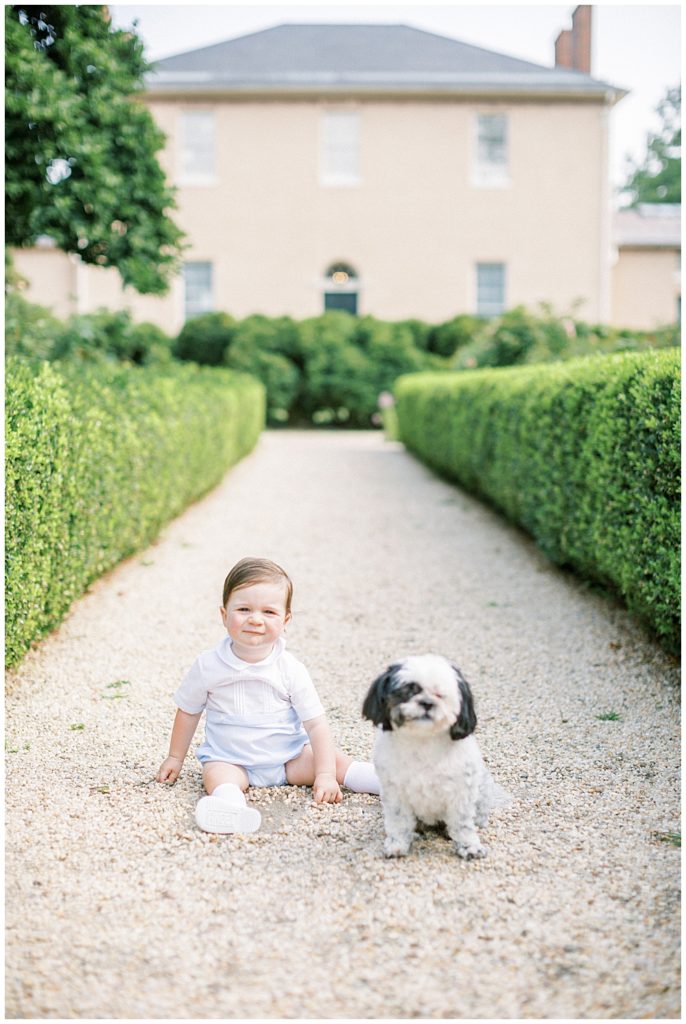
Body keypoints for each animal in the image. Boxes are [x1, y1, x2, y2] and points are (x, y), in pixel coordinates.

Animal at [364, 655, 505, 856]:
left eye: (440, 694)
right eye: (410, 690)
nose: (427, 703)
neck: (423, 741)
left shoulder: (460, 793)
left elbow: (462, 825)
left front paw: (469, 846)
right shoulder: (395, 794)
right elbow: (399, 822)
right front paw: (397, 844)